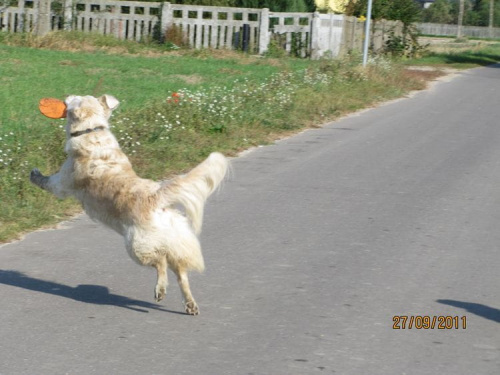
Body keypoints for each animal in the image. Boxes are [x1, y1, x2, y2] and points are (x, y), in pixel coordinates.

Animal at [29, 94, 229, 314]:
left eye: (76, 99)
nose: (66, 97)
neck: (92, 130)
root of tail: (157, 197)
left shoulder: (62, 182)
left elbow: (47, 181)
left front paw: (34, 174)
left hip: (137, 246)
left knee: (160, 262)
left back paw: (160, 290)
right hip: (173, 244)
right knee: (181, 274)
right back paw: (190, 304)